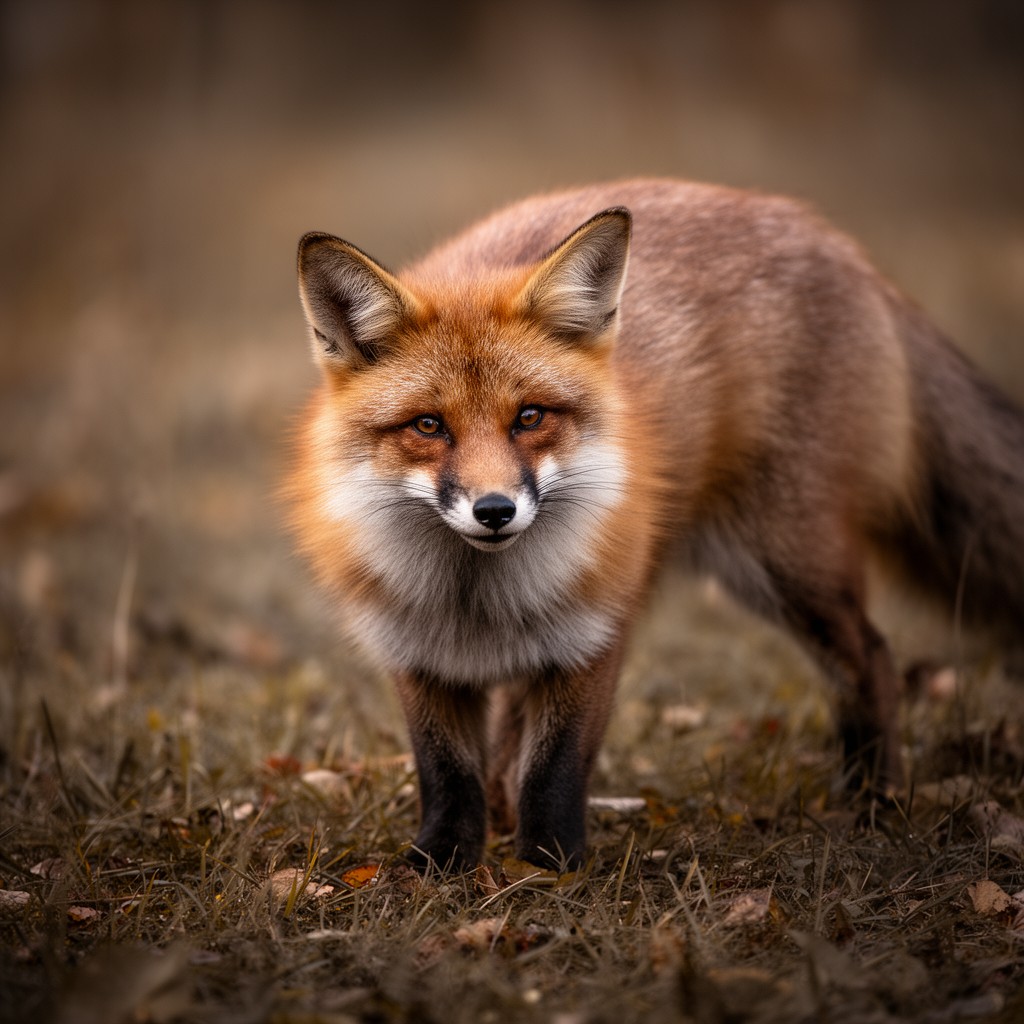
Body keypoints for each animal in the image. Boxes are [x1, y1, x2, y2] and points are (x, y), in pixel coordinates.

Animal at [286, 179, 1024, 871]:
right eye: (428, 426)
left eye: (529, 417)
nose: (494, 510)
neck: (477, 603)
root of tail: (832, 238)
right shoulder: (415, 651)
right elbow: (447, 774)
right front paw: (442, 864)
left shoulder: (592, 635)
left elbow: (553, 771)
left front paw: (551, 868)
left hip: (785, 564)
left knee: (872, 657)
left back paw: (873, 802)